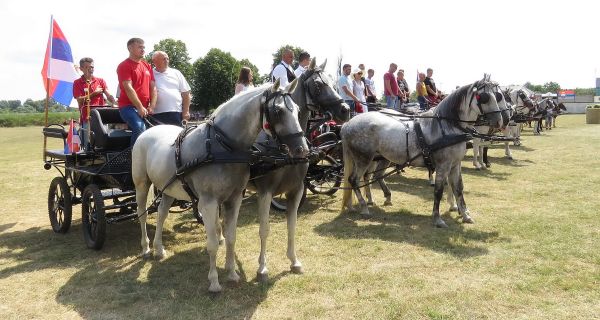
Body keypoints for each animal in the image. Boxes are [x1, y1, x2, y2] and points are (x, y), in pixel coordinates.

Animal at [132, 80, 310, 292]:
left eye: (298, 110)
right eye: (278, 111)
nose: (301, 149)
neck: (222, 147)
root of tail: (146, 132)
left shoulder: (234, 198)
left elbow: (231, 235)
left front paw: (232, 274)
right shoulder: (209, 203)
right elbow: (212, 243)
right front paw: (215, 282)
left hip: (168, 189)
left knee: (161, 214)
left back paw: (159, 249)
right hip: (142, 185)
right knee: (142, 214)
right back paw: (145, 248)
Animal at [245, 58, 350, 282]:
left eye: (332, 81)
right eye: (318, 85)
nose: (345, 109)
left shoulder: (297, 189)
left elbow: (292, 225)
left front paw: (294, 261)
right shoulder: (265, 192)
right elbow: (264, 229)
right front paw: (262, 268)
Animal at [340, 75, 504, 228]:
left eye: (497, 95)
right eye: (485, 97)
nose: (500, 121)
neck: (448, 126)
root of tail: (348, 124)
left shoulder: (455, 164)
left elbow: (458, 188)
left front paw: (465, 215)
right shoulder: (443, 165)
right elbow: (438, 190)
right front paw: (438, 219)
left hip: (377, 158)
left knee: (369, 177)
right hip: (363, 159)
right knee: (354, 180)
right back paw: (364, 207)